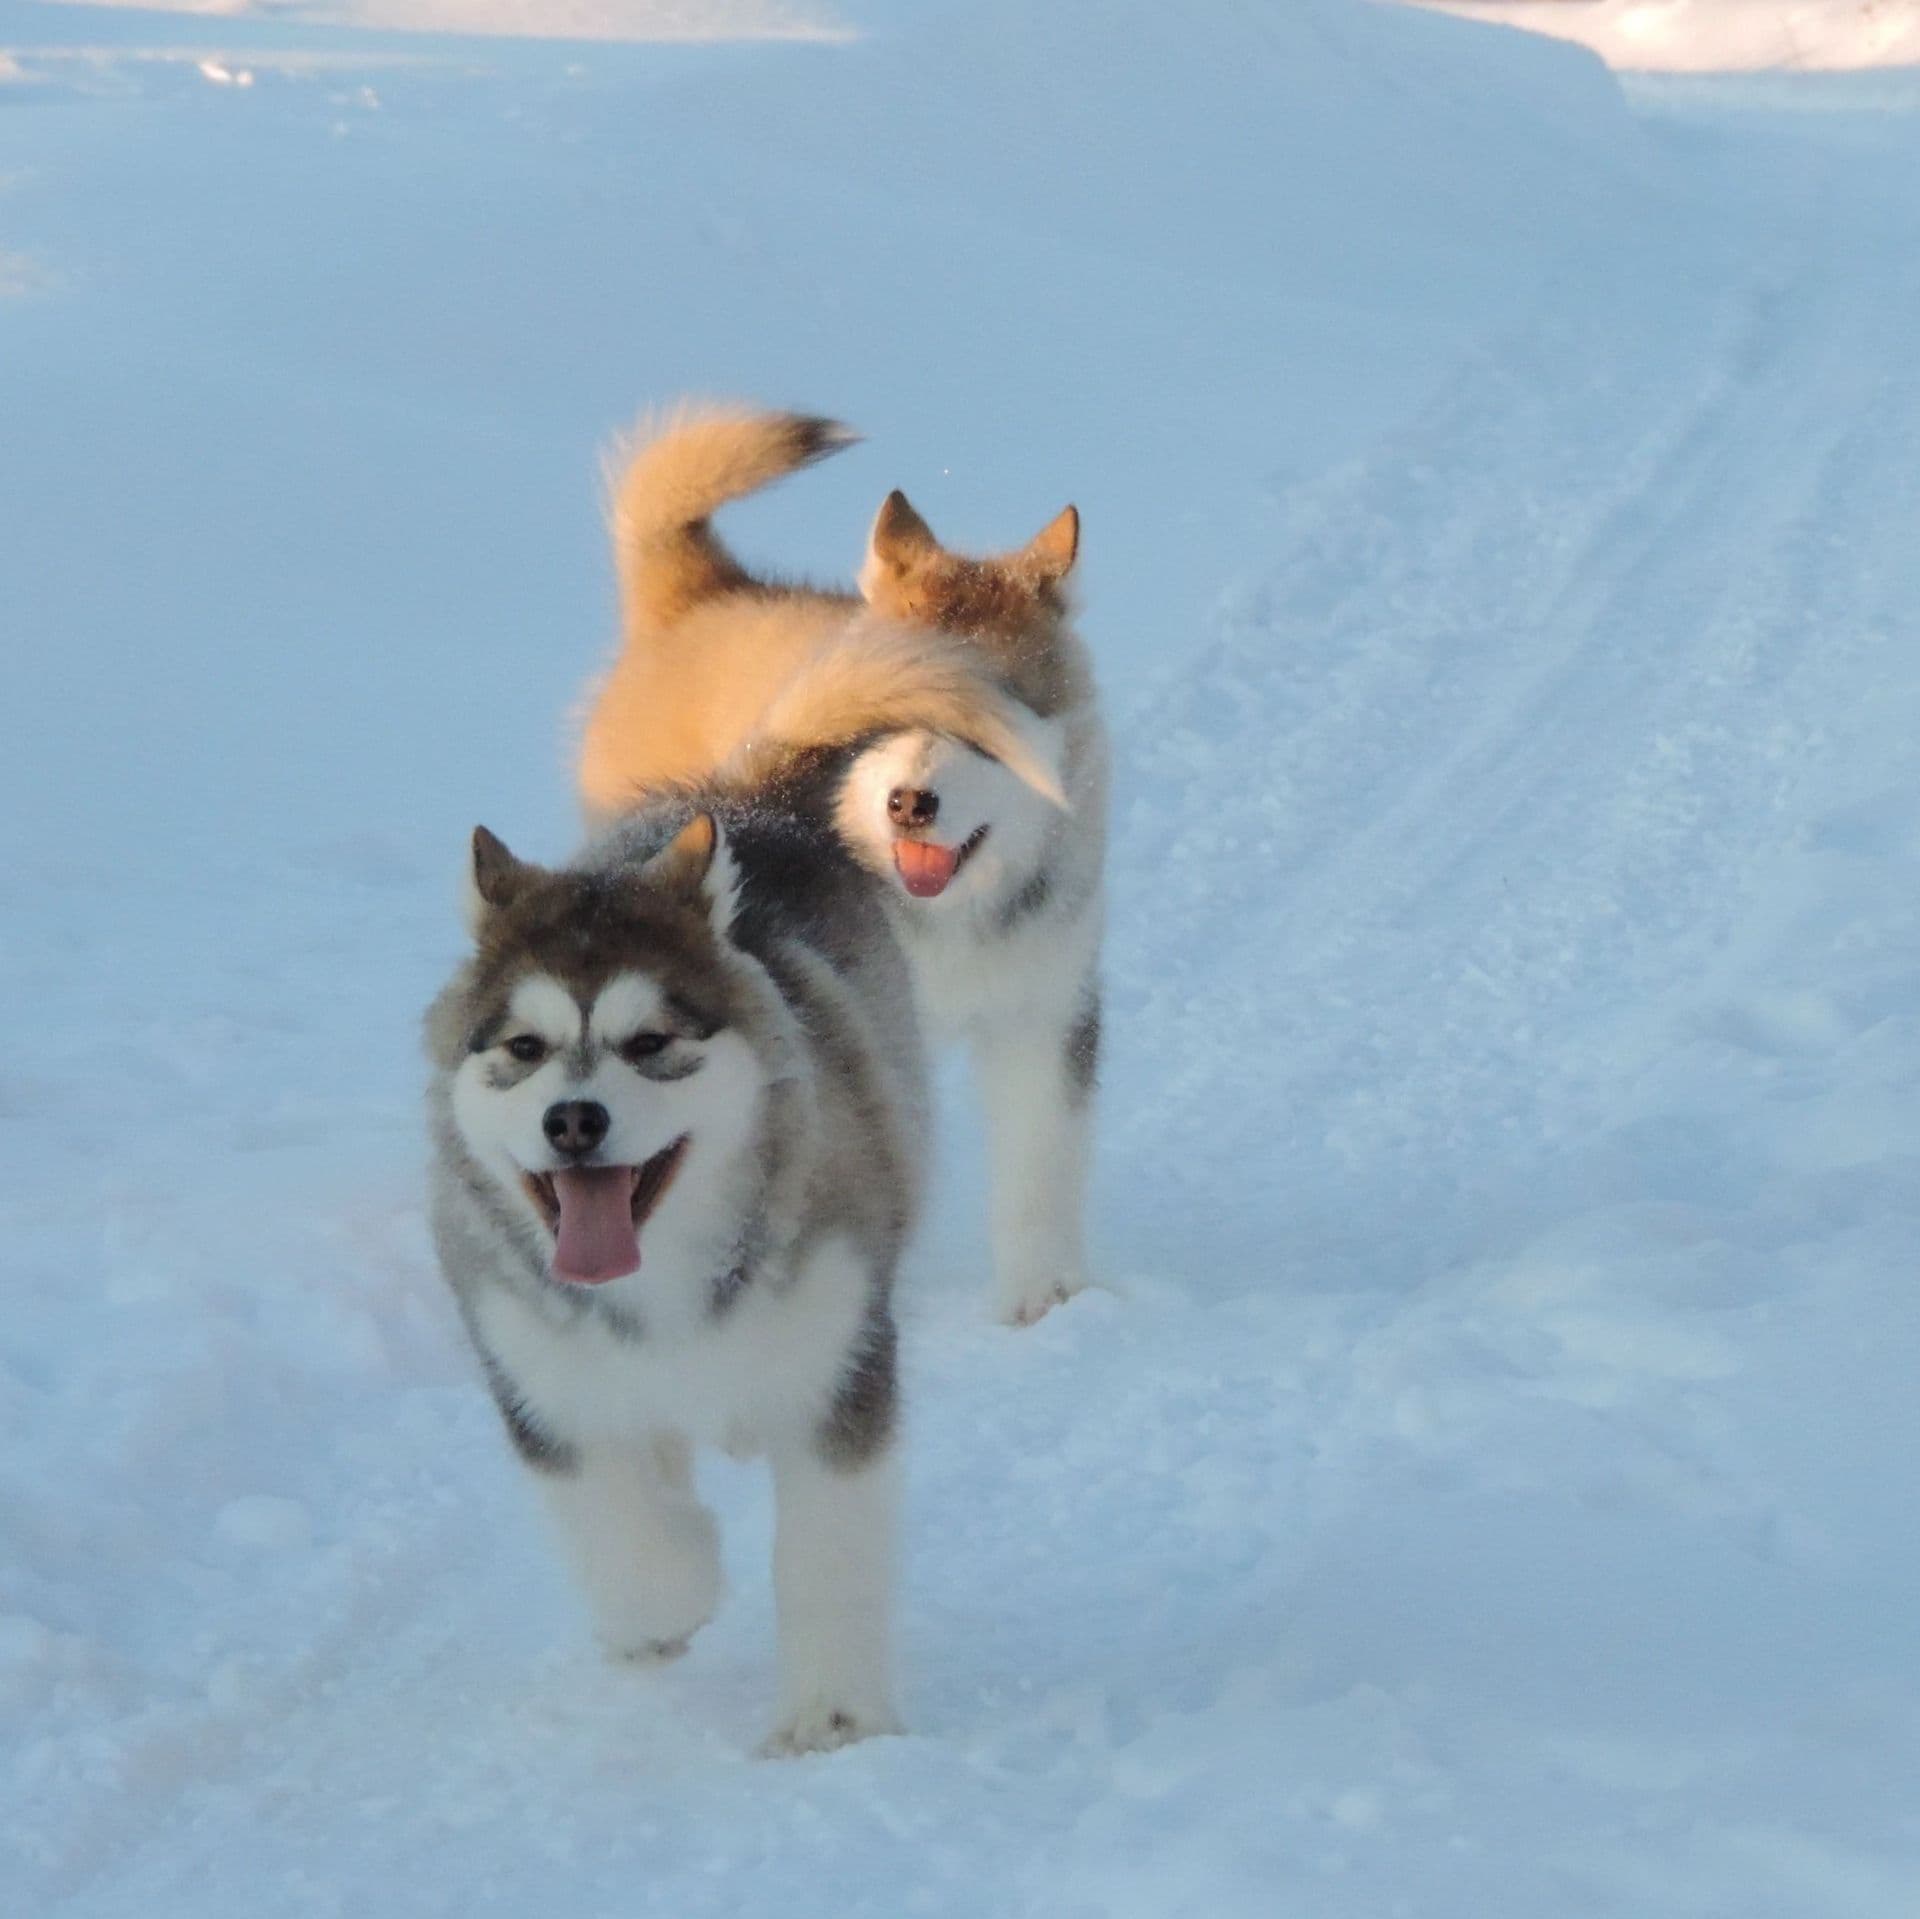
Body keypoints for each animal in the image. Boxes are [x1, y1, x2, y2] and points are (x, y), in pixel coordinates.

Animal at [428, 779, 921, 1759]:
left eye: (650, 1042)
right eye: (525, 1048)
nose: (574, 1119)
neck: (656, 1286)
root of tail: (749, 795)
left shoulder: (835, 1357)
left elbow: (825, 1546)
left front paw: (830, 1715)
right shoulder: (537, 1368)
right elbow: (617, 1523)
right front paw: (670, 1592)